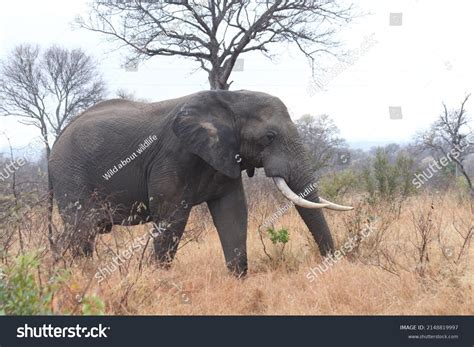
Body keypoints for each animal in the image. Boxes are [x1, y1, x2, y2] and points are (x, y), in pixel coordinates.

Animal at [49, 89, 352, 278]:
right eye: (269, 137)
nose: (328, 264)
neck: (230, 100)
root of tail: (56, 141)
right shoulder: (173, 156)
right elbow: (172, 218)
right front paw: (160, 280)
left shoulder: (225, 157)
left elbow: (233, 213)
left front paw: (238, 280)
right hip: (71, 174)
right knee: (81, 229)